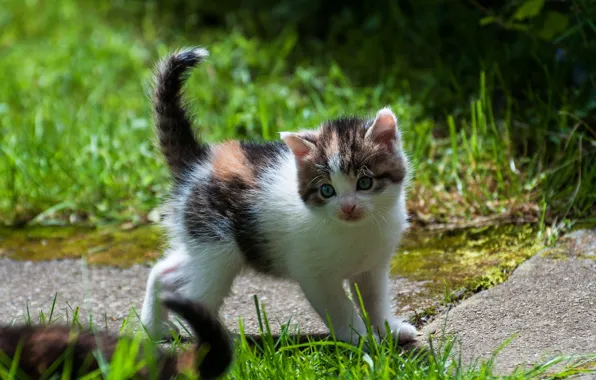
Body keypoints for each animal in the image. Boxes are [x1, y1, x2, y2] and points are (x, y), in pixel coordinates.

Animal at [141, 47, 416, 348]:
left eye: (365, 183)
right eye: (326, 190)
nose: (348, 207)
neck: (356, 230)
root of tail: (200, 162)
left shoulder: (372, 267)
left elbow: (374, 300)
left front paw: (389, 330)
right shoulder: (314, 275)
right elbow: (339, 307)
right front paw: (360, 339)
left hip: (207, 245)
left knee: (163, 272)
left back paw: (153, 328)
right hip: (217, 247)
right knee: (196, 296)